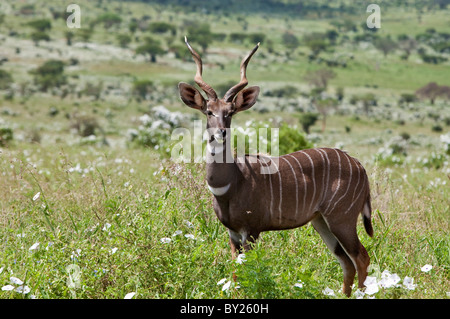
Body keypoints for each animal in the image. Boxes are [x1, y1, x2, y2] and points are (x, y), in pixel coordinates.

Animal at [178, 38, 374, 298]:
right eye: (209, 111)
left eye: (230, 113)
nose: (220, 132)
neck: (231, 184)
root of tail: (359, 166)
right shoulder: (232, 233)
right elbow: (234, 272)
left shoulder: (251, 230)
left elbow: (247, 271)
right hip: (321, 221)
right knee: (346, 262)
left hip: (342, 218)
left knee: (361, 257)